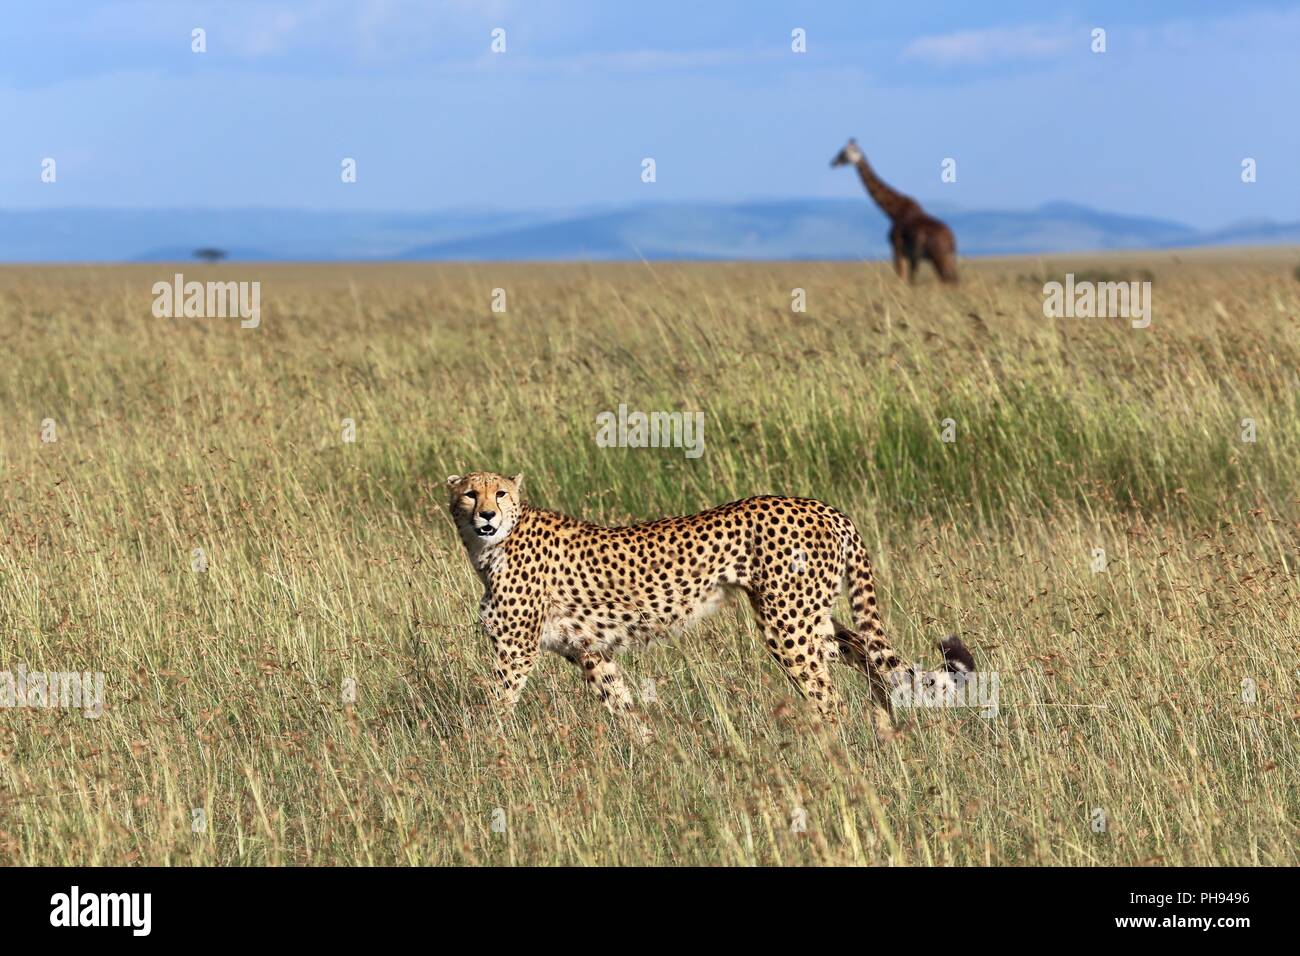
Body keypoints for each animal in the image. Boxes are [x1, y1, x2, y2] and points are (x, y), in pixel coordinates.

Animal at [447, 476, 967, 738]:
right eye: (470, 493)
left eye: (500, 493)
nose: (486, 514)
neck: (489, 546)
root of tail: (825, 507)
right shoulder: (591, 652)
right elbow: (621, 704)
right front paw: (650, 755)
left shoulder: (516, 649)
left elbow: (498, 702)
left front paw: (485, 752)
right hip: (808, 616)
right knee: (865, 651)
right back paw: (883, 727)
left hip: (788, 624)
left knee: (830, 697)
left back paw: (829, 755)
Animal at [826, 137, 961, 283]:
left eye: (843, 153)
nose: (833, 162)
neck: (893, 212)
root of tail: (952, 239)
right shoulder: (910, 256)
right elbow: (910, 280)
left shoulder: (896, 248)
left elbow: (901, 278)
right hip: (949, 257)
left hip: (939, 256)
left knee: (948, 280)